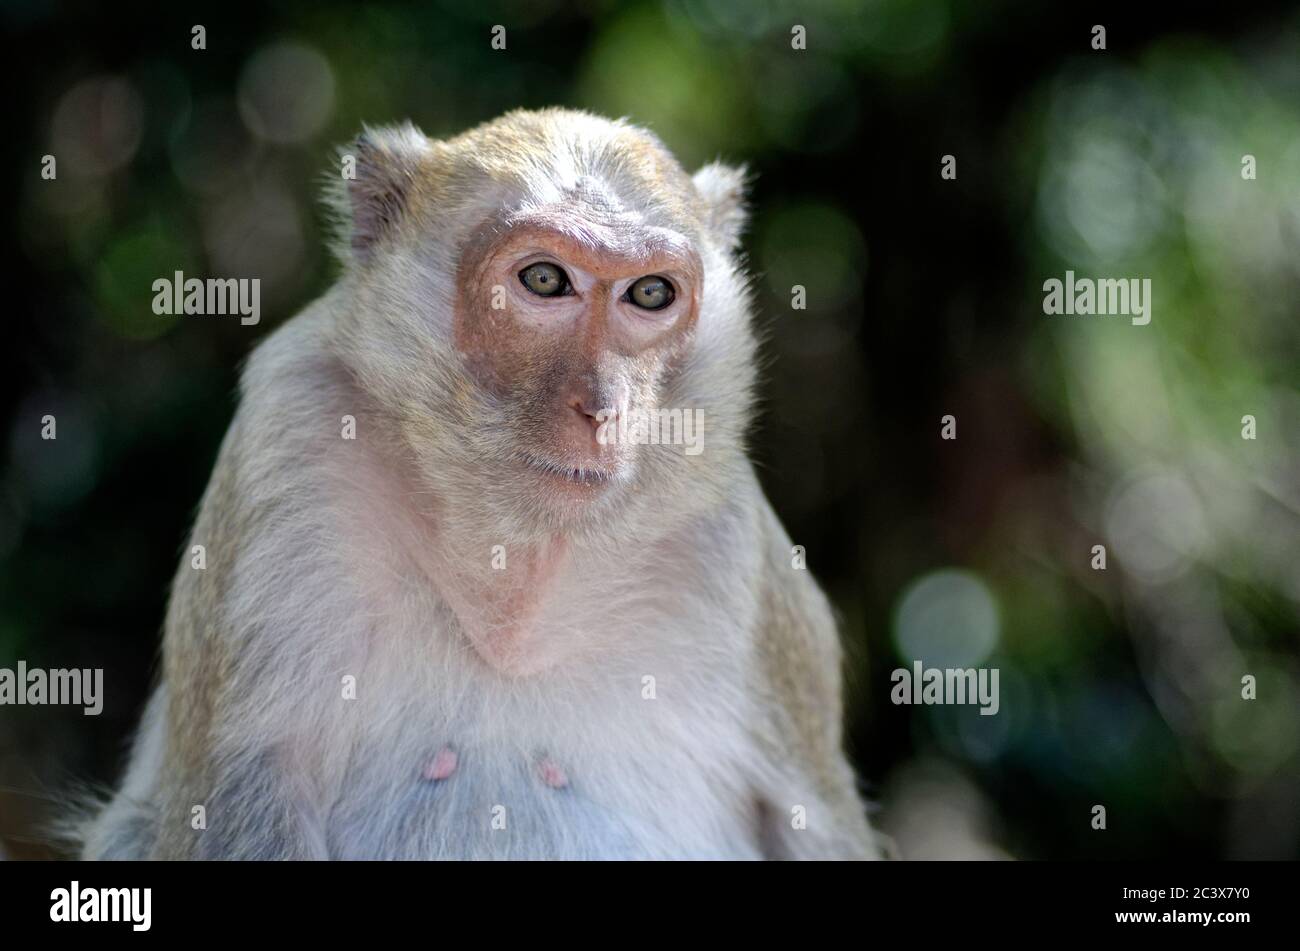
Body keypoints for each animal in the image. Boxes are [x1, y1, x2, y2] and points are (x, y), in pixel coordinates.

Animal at [76, 107, 878, 857]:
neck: (514, 580)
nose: (604, 410)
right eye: (545, 280)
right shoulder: (292, 433)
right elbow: (241, 802)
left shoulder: (735, 545)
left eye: (650, 294)